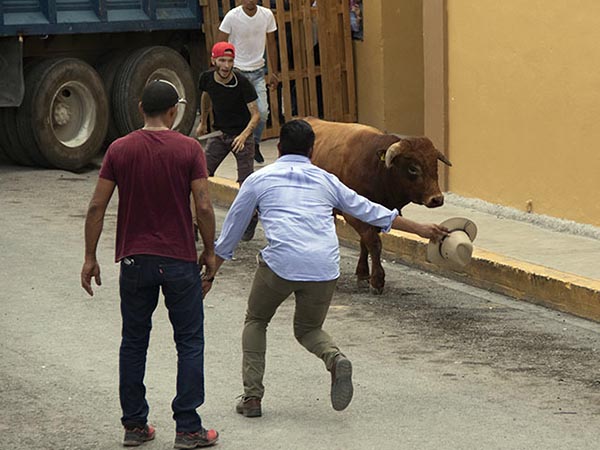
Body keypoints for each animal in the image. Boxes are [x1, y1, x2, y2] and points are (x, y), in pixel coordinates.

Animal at [308, 118, 452, 294]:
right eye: (413, 168)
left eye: (435, 165)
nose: (437, 199)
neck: (378, 170)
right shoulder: (354, 215)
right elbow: (374, 243)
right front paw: (377, 280)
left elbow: (365, 243)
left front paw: (363, 274)